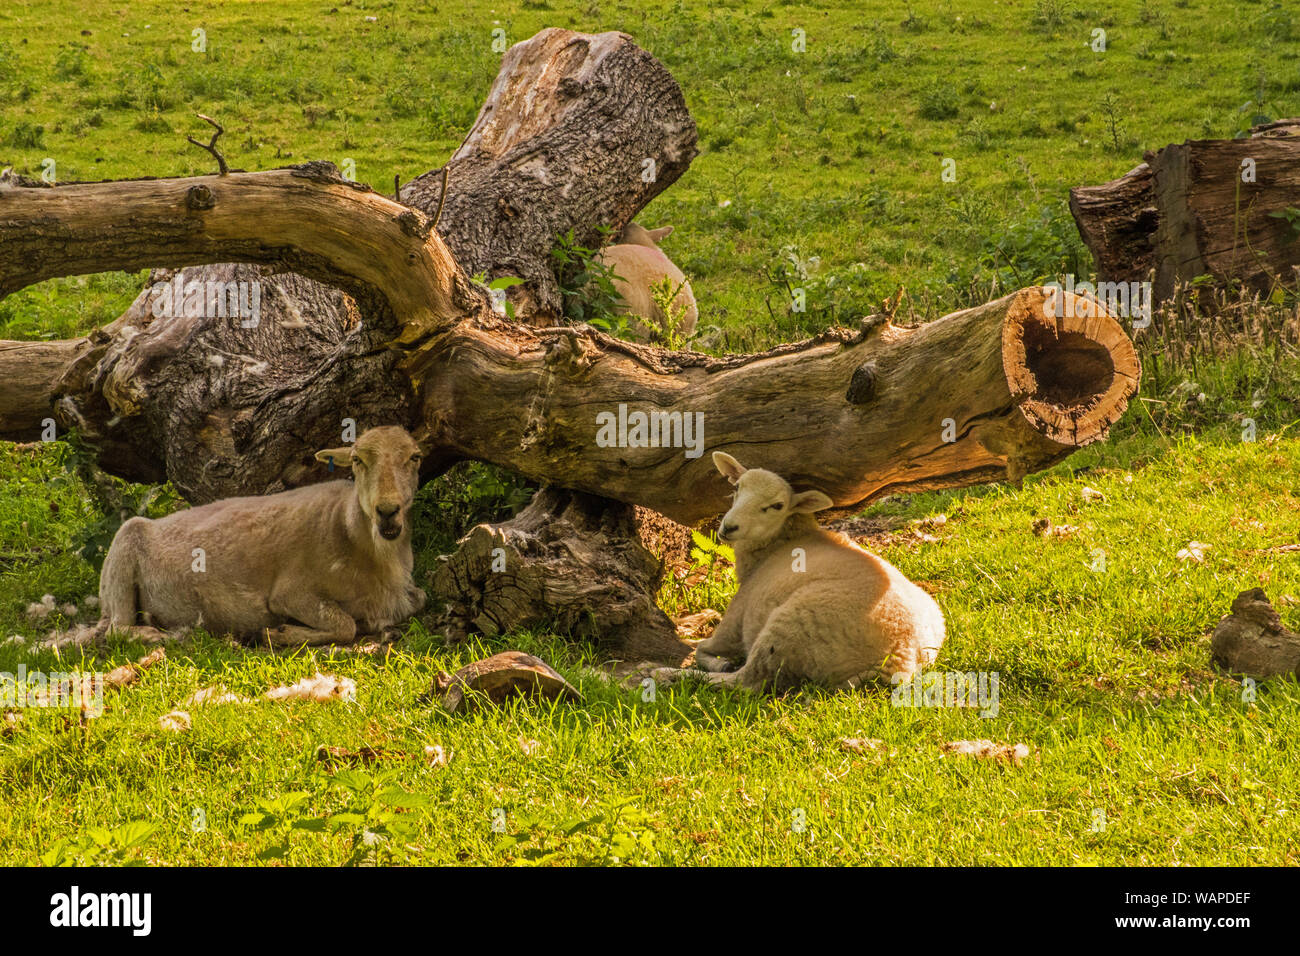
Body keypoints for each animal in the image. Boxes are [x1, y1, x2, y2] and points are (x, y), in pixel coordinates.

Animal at [94, 429, 426, 650]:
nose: (387, 511)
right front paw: (279, 633)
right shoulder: (291, 592)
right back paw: (153, 635)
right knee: (116, 629)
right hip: (123, 549)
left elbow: (419, 599)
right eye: (357, 460)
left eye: (415, 457)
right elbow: (345, 625)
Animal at [660, 452, 946, 691]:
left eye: (777, 505)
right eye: (737, 487)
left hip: (790, 628)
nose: (729, 527)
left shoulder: (735, 619)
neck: (779, 543)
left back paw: (668, 675)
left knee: (746, 682)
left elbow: (702, 649)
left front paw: (715, 659)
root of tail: (902, 655)